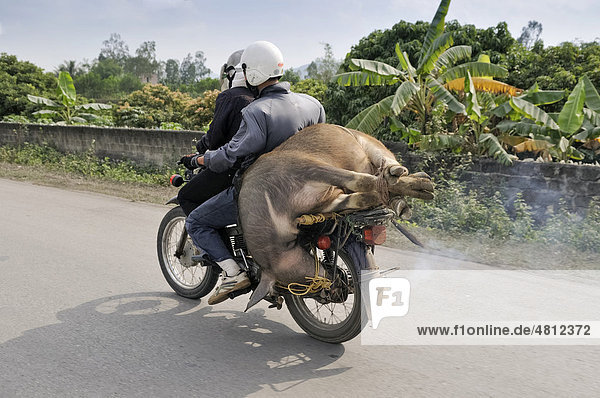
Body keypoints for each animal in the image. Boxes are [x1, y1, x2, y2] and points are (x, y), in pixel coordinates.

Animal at [237, 124, 434, 308]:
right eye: (299, 288)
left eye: (306, 284)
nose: (334, 291)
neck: (274, 208)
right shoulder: (329, 201)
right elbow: (363, 195)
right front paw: (381, 196)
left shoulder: (312, 168)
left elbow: (361, 180)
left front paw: (425, 188)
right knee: (385, 179)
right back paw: (401, 202)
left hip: (368, 143)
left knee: (389, 163)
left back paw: (413, 180)